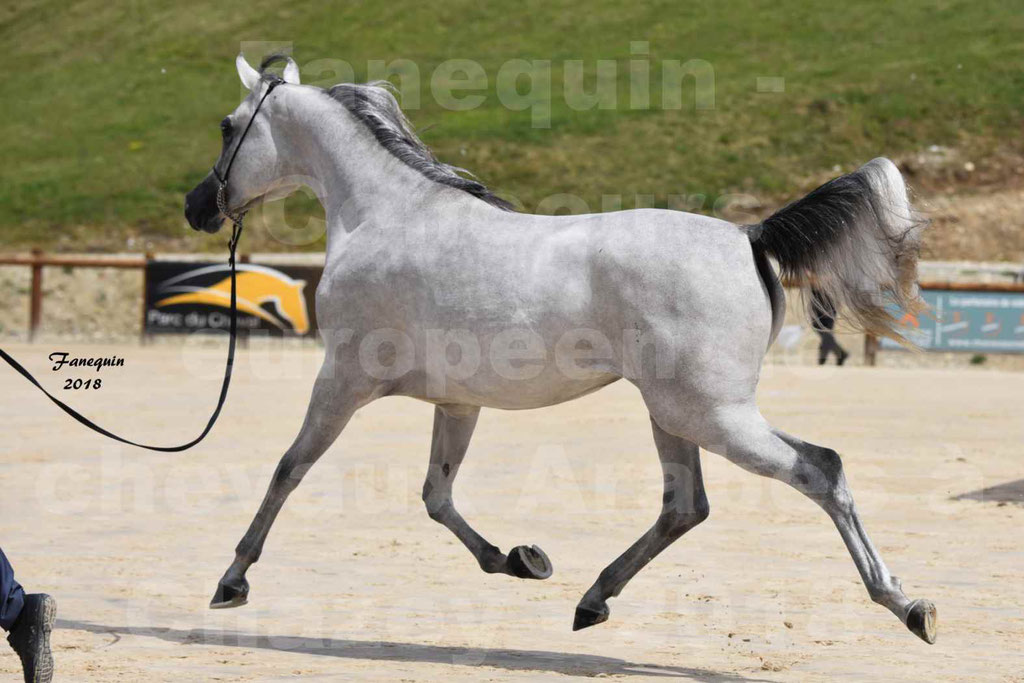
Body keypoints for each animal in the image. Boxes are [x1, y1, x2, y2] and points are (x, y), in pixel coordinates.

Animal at [184, 54, 937, 647]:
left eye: (226, 125)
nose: (196, 206)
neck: (388, 215)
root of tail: (750, 235)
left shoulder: (341, 379)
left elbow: (290, 469)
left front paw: (231, 580)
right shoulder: (457, 401)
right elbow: (436, 494)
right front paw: (519, 559)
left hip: (712, 415)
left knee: (820, 469)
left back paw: (907, 605)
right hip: (675, 413)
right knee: (685, 506)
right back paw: (592, 599)